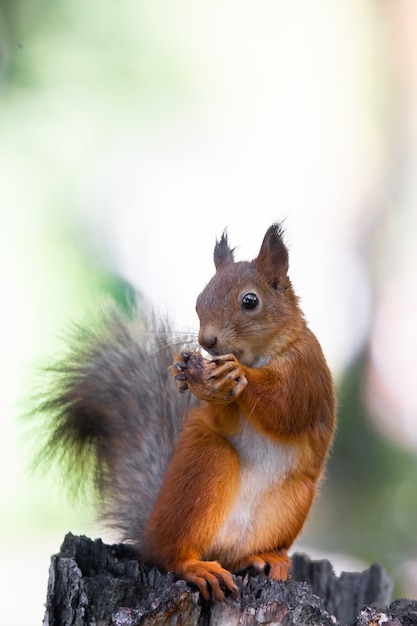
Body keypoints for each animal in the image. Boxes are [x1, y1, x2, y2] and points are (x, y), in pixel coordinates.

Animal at [39, 223, 334, 600]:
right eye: (198, 300)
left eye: (250, 301)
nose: (206, 342)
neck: (260, 355)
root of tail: (150, 533)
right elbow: (222, 417)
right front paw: (188, 373)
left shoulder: (306, 372)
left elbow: (286, 407)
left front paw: (236, 373)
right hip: (207, 467)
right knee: (170, 556)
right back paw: (195, 566)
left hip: (290, 501)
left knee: (232, 555)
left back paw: (265, 558)